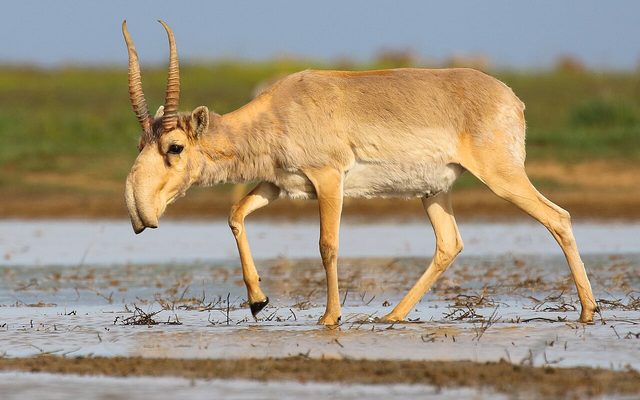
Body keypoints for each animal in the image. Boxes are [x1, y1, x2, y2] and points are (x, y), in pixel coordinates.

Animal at [122, 21, 598, 325]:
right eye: (141, 143)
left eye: (175, 147)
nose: (138, 212)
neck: (279, 110)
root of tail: (511, 98)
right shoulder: (278, 185)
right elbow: (235, 214)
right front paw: (258, 301)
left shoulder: (329, 180)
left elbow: (327, 245)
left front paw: (329, 317)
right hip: (433, 192)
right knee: (449, 244)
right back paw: (392, 315)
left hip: (502, 177)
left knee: (558, 217)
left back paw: (589, 311)